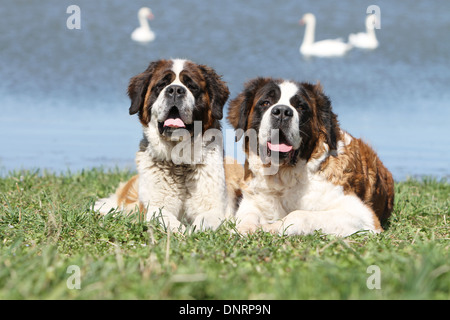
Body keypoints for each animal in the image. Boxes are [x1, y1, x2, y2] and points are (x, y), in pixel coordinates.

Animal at [93, 58, 230, 231]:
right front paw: (182, 231)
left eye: (192, 86)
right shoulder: (153, 206)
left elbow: (205, 220)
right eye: (161, 85)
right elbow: (164, 217)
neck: (179, 161)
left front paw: (194, 231)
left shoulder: (214, 207)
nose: (176, 90)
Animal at [229, 78, 394, 238]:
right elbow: (248, 215)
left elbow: (299, 215)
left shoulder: (362, 215)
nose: (282, 111)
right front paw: (245, 228)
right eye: (265, 103)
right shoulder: (251, 200)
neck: (284, 177)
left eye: (301, 107)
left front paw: (271, 228)